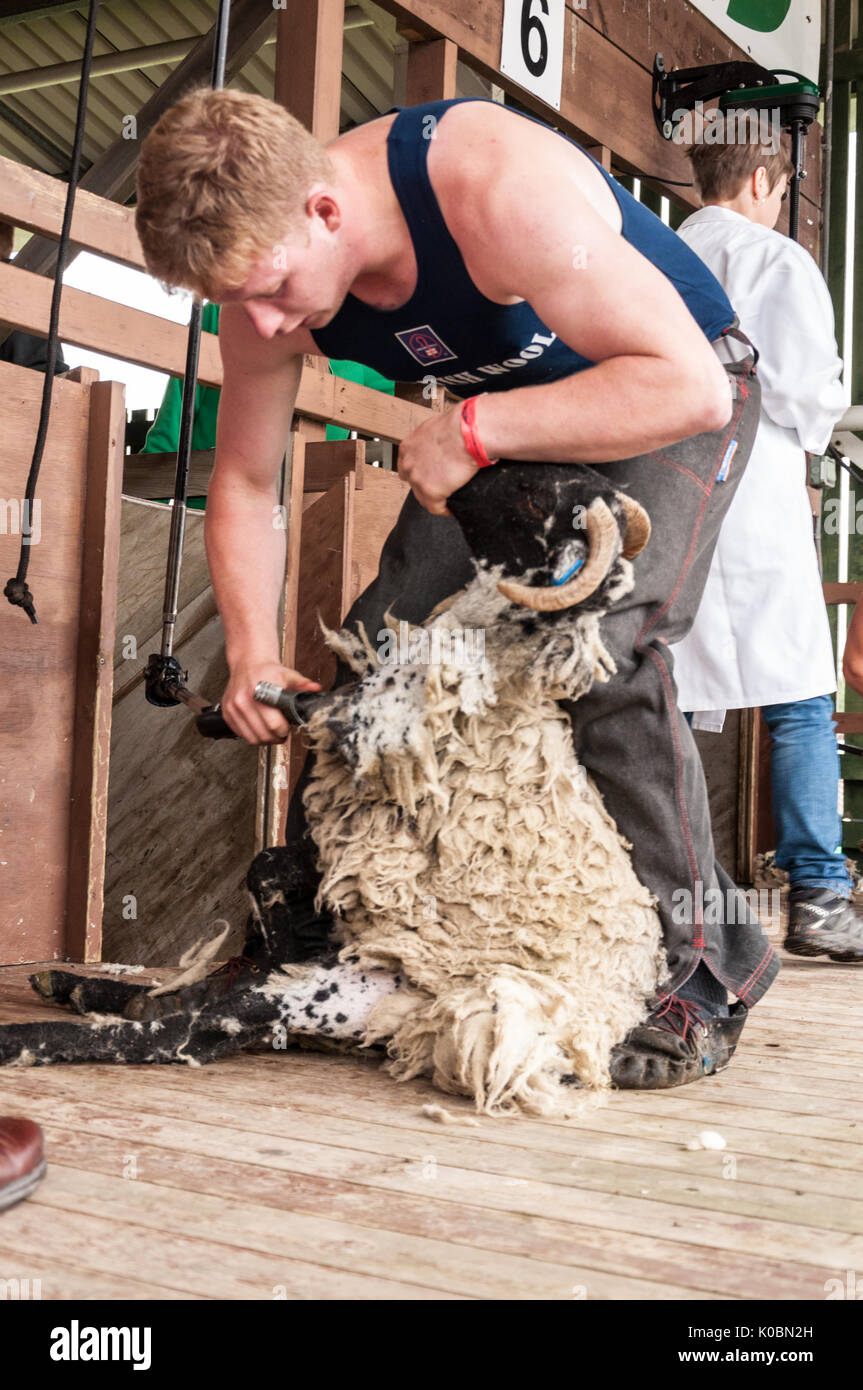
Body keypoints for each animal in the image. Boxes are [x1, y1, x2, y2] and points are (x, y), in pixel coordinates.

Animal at [0, 462, 665, 1118]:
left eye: (532, 495)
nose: (464, 474)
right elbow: (267, 866)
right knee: (218, 1000)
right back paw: (86, 986)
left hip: (345, 994)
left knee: (187, 1034)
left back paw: (38, 1032)